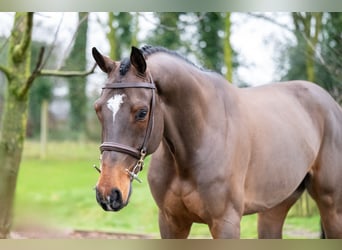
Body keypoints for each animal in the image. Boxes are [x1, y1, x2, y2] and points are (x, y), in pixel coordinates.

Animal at [91, 45, 342, 238]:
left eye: (142, 112)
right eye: (98, 109)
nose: (108, 193)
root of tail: (330, 103)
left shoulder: (225, 223)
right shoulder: (171, 221)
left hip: (332, 207)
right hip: (275, 207)